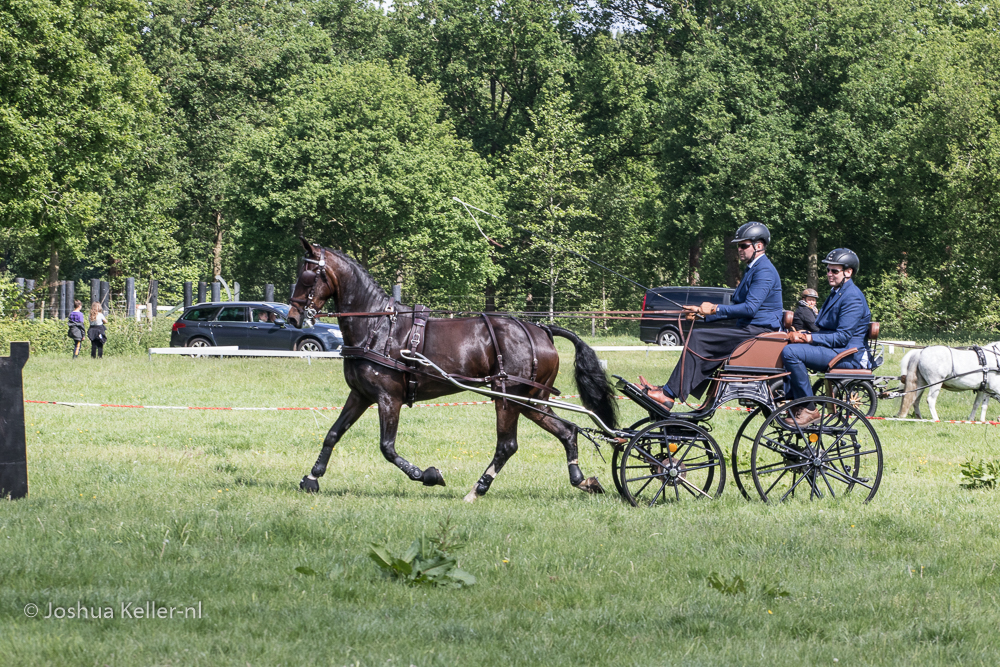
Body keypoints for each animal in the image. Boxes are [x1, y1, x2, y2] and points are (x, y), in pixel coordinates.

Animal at [286, 239, 616, 500]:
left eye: (308, 276)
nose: (292, 317)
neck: (378, 326)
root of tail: (541, 329)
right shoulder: (360, 395)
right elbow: (333, 434)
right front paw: (312, 478)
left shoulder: (388, 399)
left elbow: (387, 447)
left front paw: (428, 475)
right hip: (531, 400)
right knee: (568, 431)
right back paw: (582, 480)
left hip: (508, 398)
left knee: (507, 445)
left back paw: (478, 489)